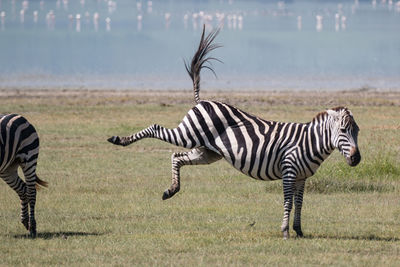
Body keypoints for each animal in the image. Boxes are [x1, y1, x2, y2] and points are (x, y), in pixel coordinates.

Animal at [108, 27, 360, 240]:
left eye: (357, 131)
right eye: (343, 131)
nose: (357, 159)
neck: (310, 142)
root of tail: (202, 100)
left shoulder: (302, 178)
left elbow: (300, 204)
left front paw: (299, 230)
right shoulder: (289, 172)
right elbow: (288, 203)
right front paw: (286, 232)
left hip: (207, 152)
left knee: (176, 157)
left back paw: (171, 190)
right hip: (188, 134)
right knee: (156, 128)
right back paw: (120, 140)